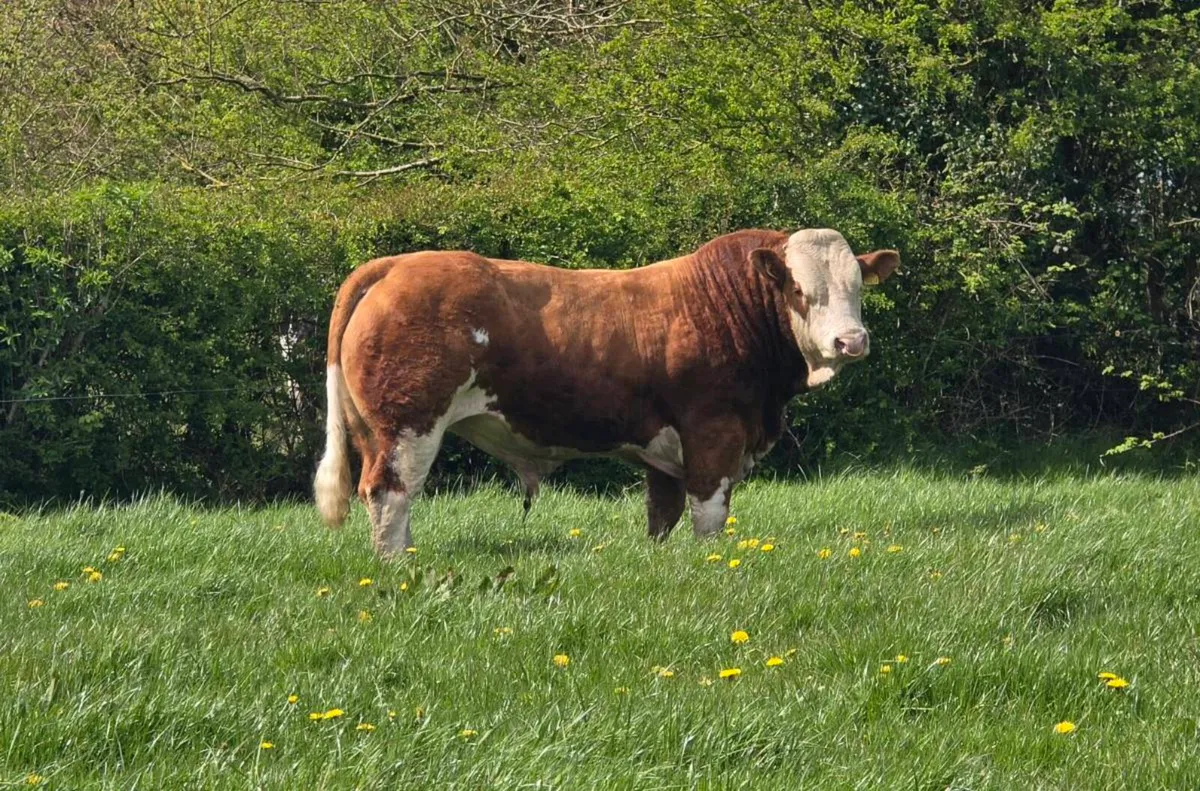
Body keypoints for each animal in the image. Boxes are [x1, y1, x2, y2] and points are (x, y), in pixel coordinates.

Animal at [314, 229, 899, 556]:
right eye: (799, 288)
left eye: (858, 285)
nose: (851, 341)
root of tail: (397, 265)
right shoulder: (713, 432)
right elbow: (709, 515)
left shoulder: (665, 453)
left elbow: (661, 515)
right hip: (408, 423)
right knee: (390, 492)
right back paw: (397, 565)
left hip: (375, 430)